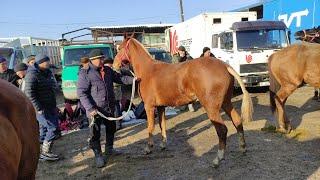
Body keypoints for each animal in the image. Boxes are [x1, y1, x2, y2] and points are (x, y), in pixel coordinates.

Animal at [114, 37, 252, 167]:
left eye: (119, 48)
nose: (114, 65)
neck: (148, 70)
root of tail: (225, 66)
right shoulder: (161, 107)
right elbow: (162, 124)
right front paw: (163, 144)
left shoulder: (149, 107)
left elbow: (150, 126)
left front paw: (148, 148)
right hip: (226, 103)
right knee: (237, 121)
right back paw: (243, 148)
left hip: (211, 108)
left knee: (222, 130)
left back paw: (218, 159)